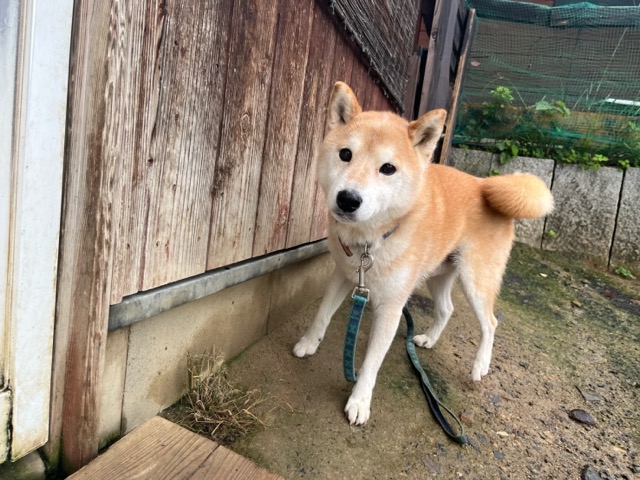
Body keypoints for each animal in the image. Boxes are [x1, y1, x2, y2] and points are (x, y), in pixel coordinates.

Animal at [293, 82, 554, 426]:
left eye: (388, 169)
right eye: (345, 154)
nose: (348, 199)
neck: (370, 241)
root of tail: (486, 186)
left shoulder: (391, 307)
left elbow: (372, 362)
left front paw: (360, 400)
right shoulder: (344, 275)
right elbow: (322, 314)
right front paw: (308, 343)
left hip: (476, 280)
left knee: (491, 322)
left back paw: (480, 366)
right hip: (439, 275)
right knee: (446, 309)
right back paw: (429, 339)